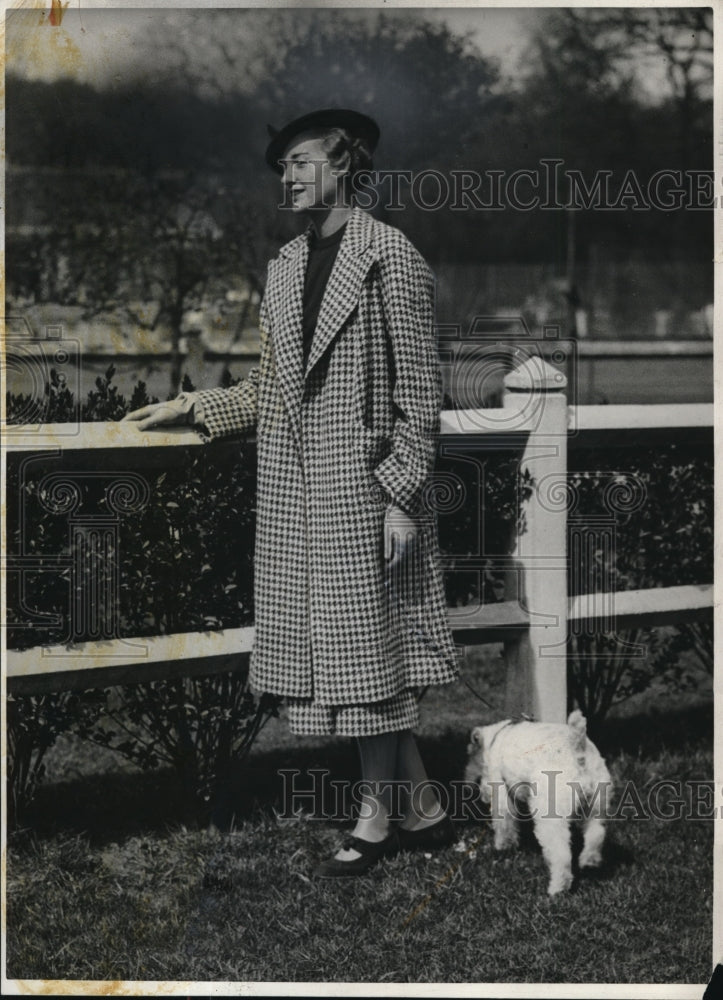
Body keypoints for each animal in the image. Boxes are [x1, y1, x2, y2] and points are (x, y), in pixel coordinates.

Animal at [466, 708, 612, 896]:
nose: (480, 794)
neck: (496, 738)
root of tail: (577, 745)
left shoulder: (502, 793)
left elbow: (505, 825)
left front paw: (503, 847)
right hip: (596, 807)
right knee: (596, 834)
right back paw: (589, 862)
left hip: (551, 817)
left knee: (562, 855)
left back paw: (557, 889)